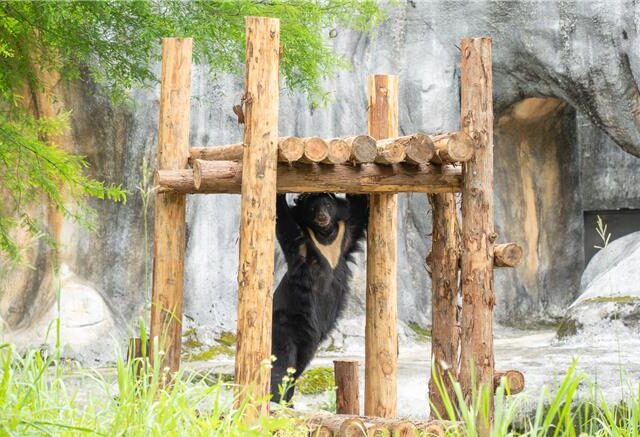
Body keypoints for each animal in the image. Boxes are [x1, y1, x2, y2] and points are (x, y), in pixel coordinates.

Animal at [270, 193, 368, 404]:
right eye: (313, 208)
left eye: (328, 205)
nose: (322, 216)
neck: (324, 235)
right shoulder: (300, 240)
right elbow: (282, 216)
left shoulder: (346, 235)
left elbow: (359, 206)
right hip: (284, 325)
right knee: (282, 363)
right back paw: (276, 400)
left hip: (308, 342)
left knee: (297, 366)